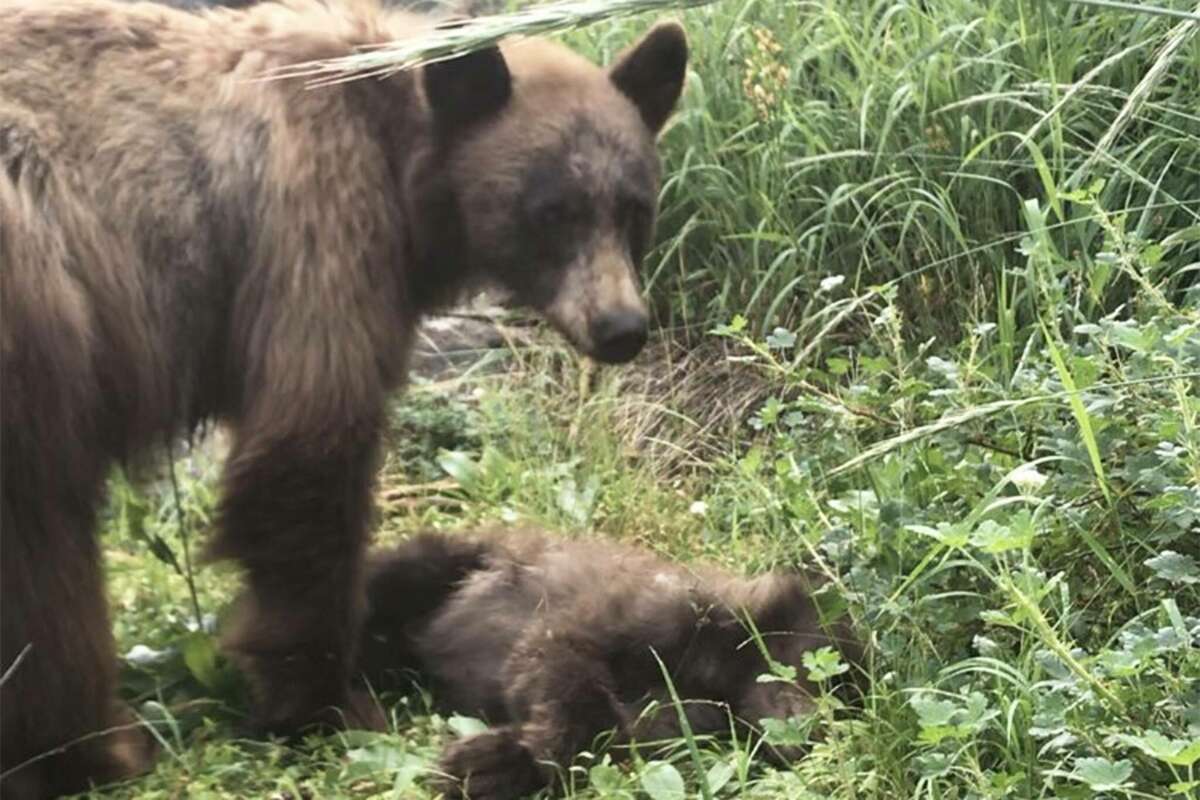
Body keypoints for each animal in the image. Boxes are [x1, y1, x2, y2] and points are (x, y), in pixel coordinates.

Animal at [0, 1, 691, 796]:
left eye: (634, 208)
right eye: (552, 211)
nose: (622, 328)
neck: (401, 155)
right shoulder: (318, 225)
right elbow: (309, 449)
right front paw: (325, 699)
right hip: (40, 314)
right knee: (42, 546)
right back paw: (93, 748)